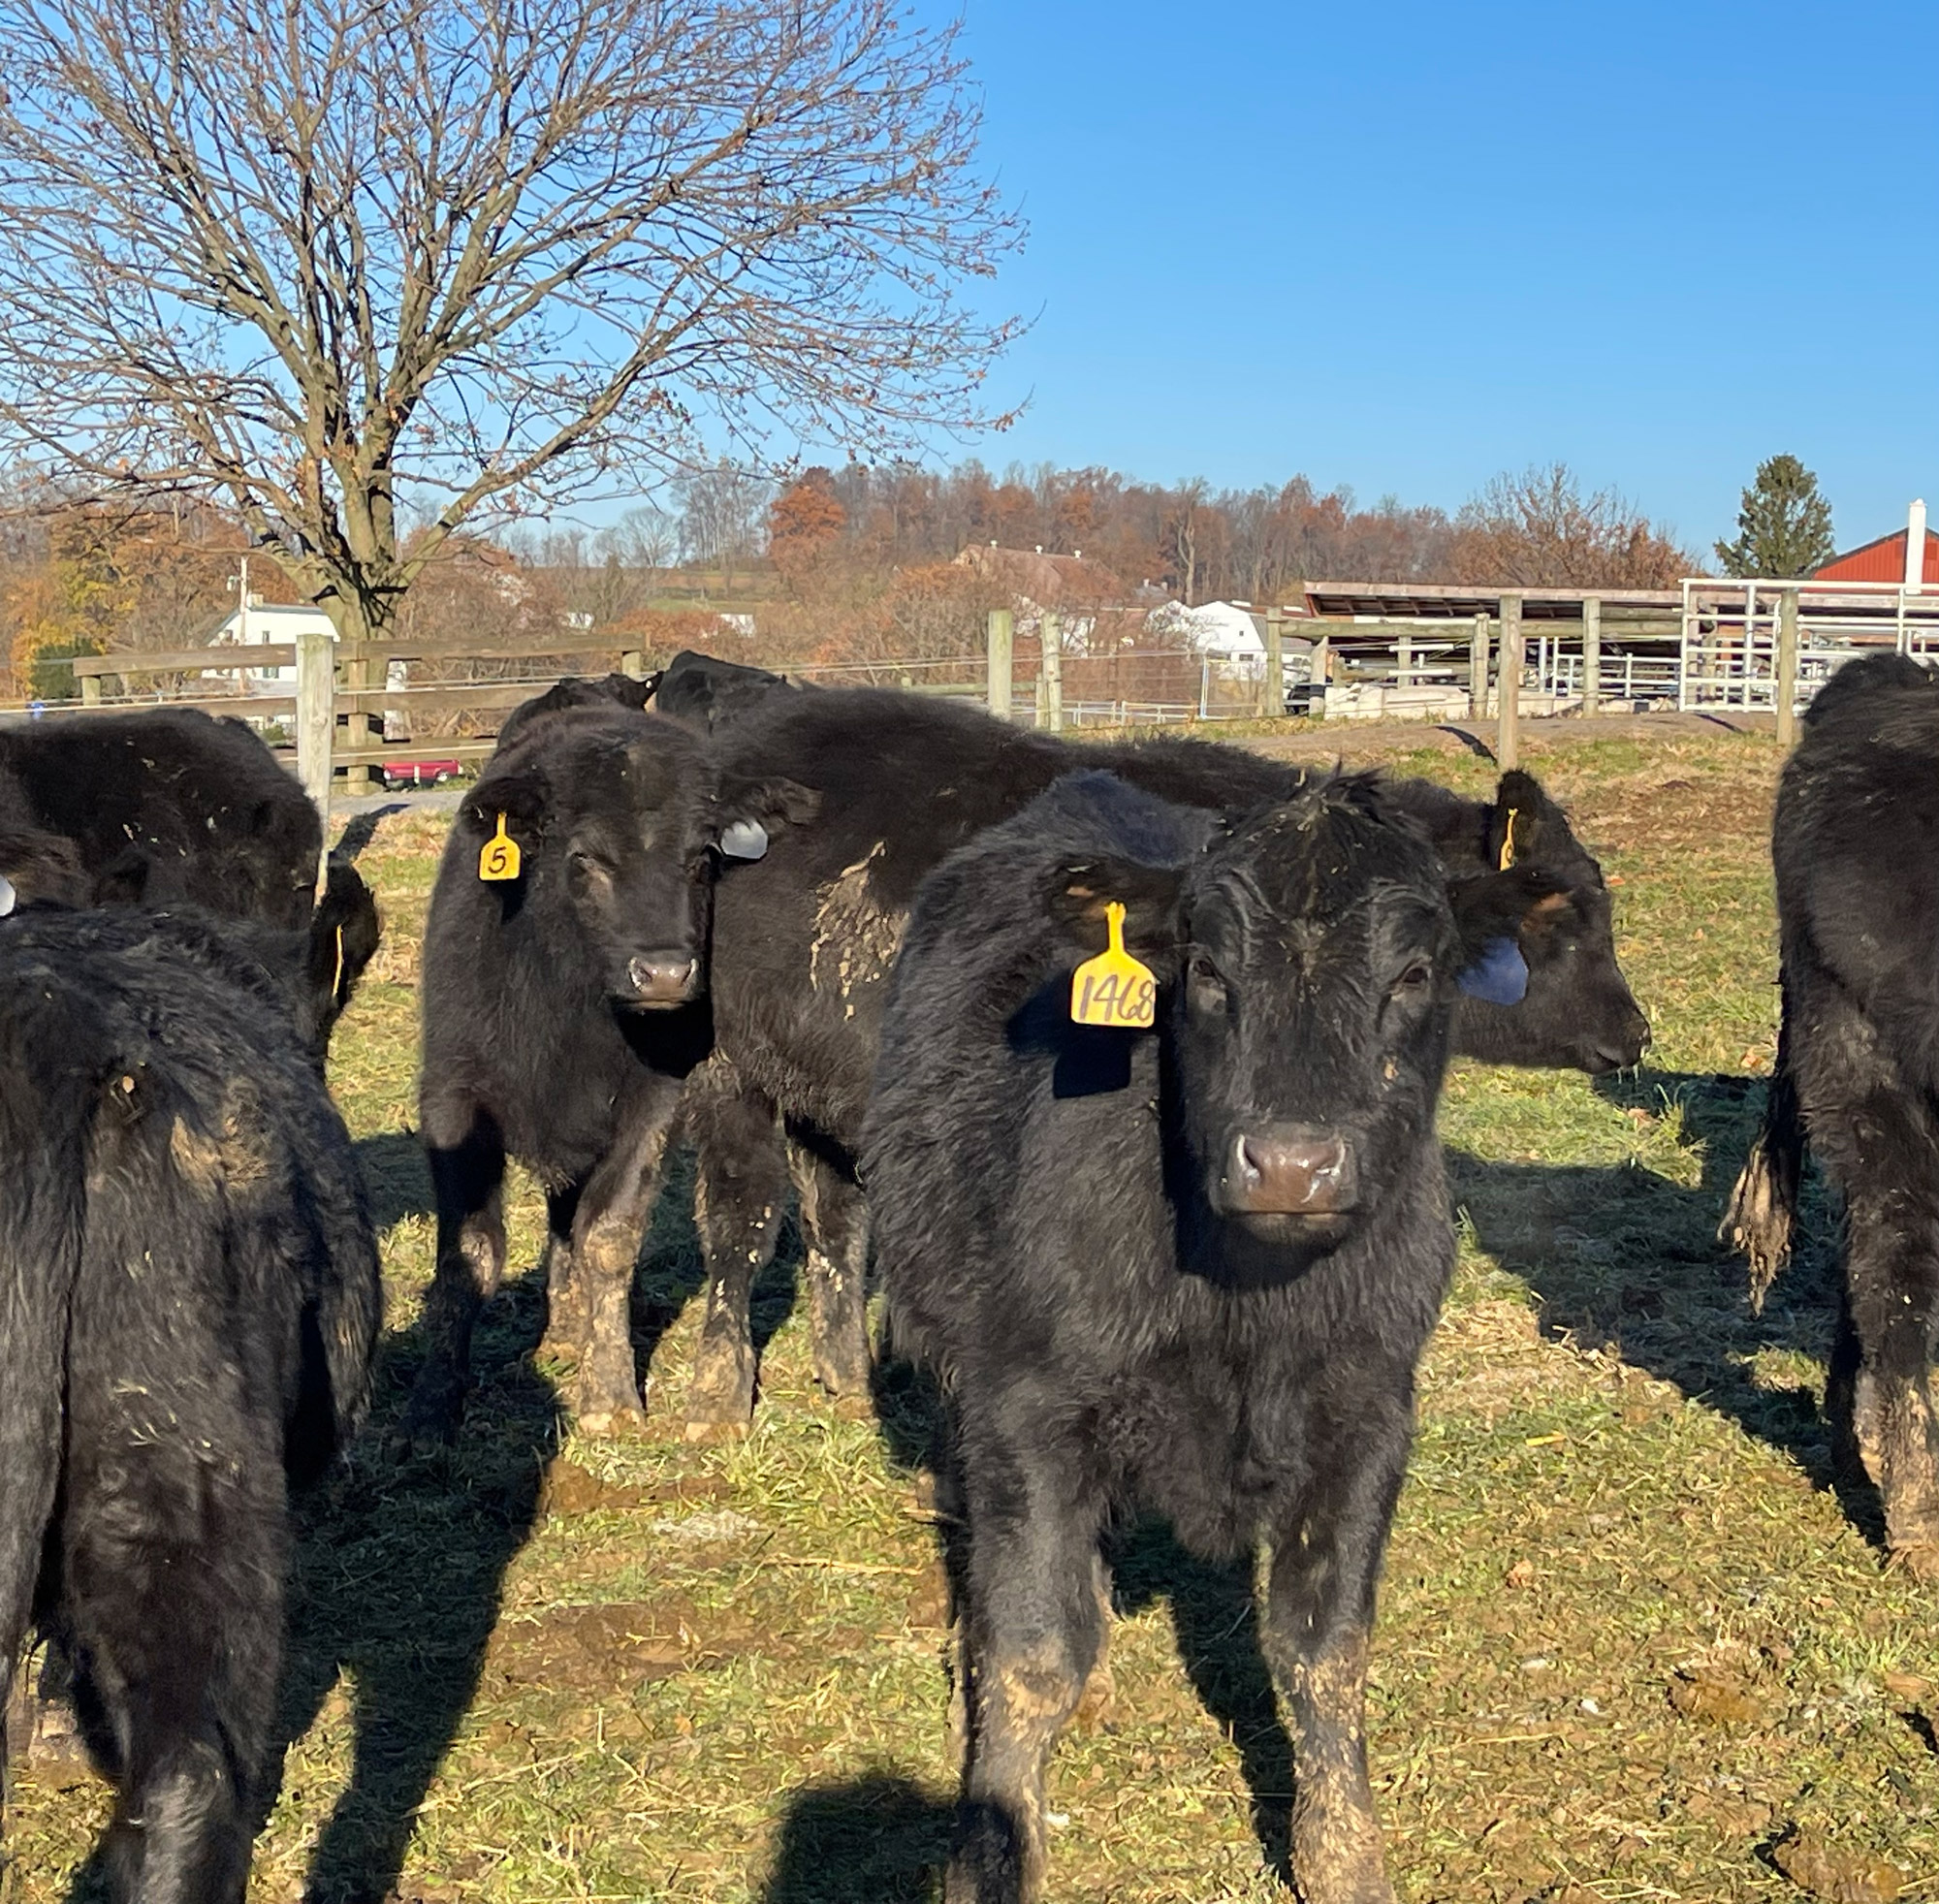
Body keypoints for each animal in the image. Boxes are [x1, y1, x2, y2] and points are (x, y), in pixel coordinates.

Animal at [405, 710, 807, 1435]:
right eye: (585, 859)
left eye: (700, 858)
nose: (666, 973)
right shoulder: (452, 1094)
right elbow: (469, 1250)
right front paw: (431, 1403)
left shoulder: (653, 1101)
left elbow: (609, 1239)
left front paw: (611, 1391)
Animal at [865, 768, 1543, 1900]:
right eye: (1208, 970)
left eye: (1413, 972)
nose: (1290, 1164)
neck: (1246, 1306)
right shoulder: (1024, 1401)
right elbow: (1033, 1647)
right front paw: (992, 1845)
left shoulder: (1368, 1409)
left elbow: (1323, 1650)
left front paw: (1343, 1856)